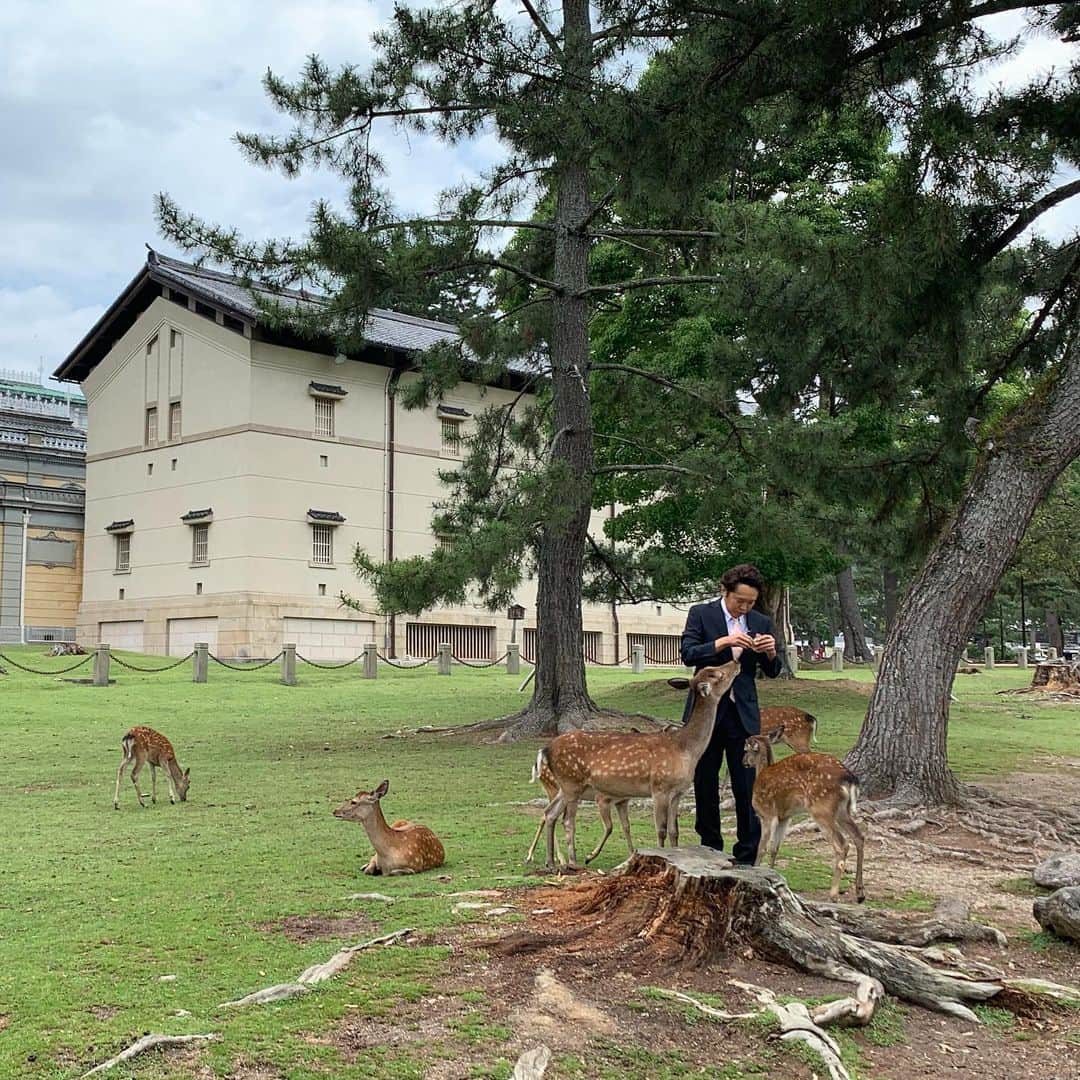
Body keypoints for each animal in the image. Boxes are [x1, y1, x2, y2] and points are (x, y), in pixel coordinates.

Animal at [537, 661, 740, 871]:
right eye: (714, 673)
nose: (735, 662)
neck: (686, 750)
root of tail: (546, 750)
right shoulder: (659, 787)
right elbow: (661, 830)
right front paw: (662, 859)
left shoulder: (678, 792)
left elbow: (674, 831)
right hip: (572, 782)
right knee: (567, 821)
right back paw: (574, 862)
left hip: (565, 787)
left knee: (550, 813)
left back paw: (551, 863)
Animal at [743, 729, 865, 902]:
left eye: (745, 749)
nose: (743, 762)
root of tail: (849, 778)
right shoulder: (784, 817)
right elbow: (775, 848)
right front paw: (772, 876)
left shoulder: (767, 814)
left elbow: (762, 847)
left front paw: (757, 871)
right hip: (842, 811)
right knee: (859, 837)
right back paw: (860, 893)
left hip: (821, 808)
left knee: (842, 844)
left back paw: (833, 894)